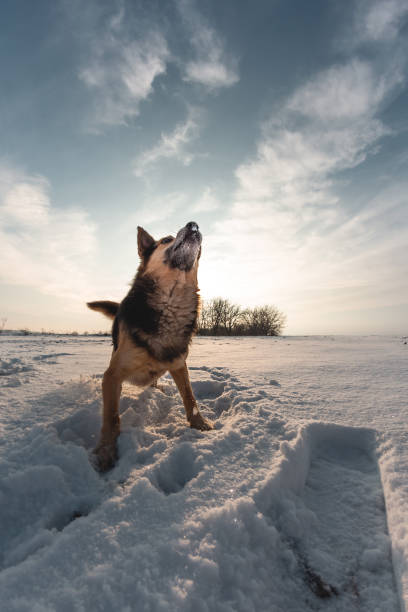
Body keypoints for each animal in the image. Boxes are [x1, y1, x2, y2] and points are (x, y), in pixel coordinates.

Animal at [86, 222, 214, 470]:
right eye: (166, 240)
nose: (194, 225)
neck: (171, 302)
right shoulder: (112, 375)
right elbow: (112, 417)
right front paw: (106, 451)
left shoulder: (179, 365)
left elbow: (190, 396)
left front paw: (199, 423)